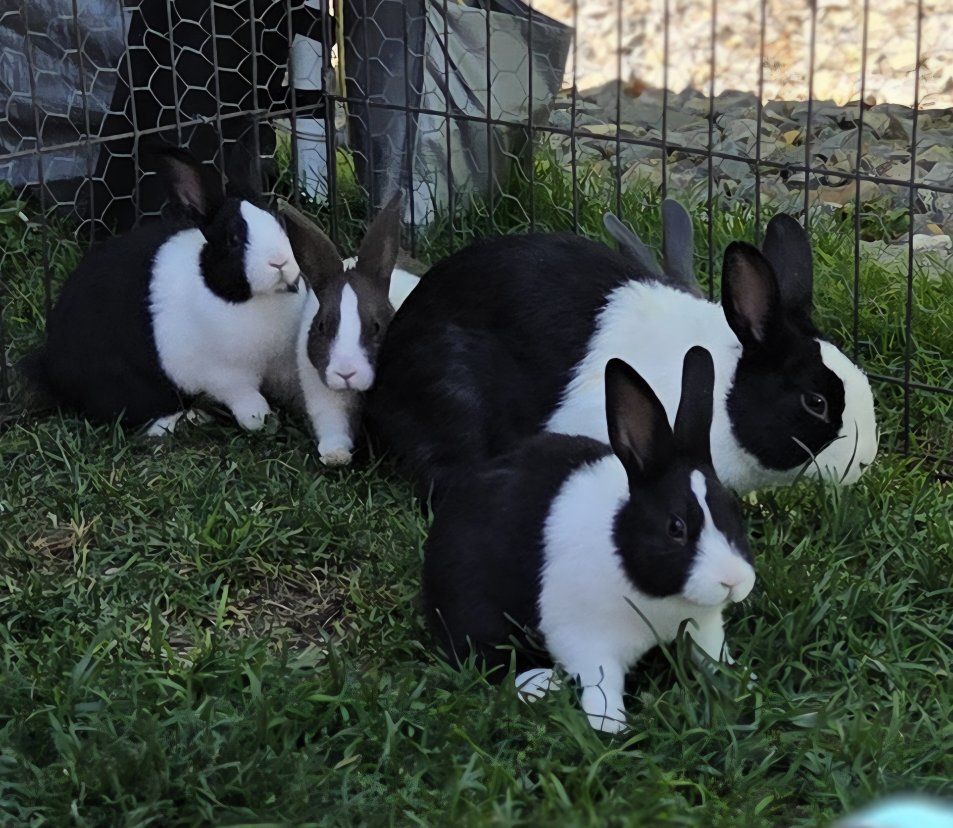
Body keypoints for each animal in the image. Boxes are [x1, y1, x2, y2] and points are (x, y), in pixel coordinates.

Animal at [19, 136, 306, 434]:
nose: (280, 262)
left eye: (280, 222)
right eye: (233, 239)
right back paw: (186, 420)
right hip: (126, 386)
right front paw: (261, 418)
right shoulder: (225, 376)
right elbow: (245, 399)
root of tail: (50, 368)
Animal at [273, 195, 407, 465]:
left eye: (376, 326)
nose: (346, 373)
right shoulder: (325, 396)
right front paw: (336, 456)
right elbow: (334, 424)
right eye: (322, 326)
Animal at [423, 347, 755, 734]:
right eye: (676, 527)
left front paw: (740, 681)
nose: (733, 581)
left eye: (733, 510)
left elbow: (713, 657)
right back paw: (541, 683)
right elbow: (602, 685)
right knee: (486, 661)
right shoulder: (588, 642)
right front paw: (612, 729)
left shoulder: (705, 630)